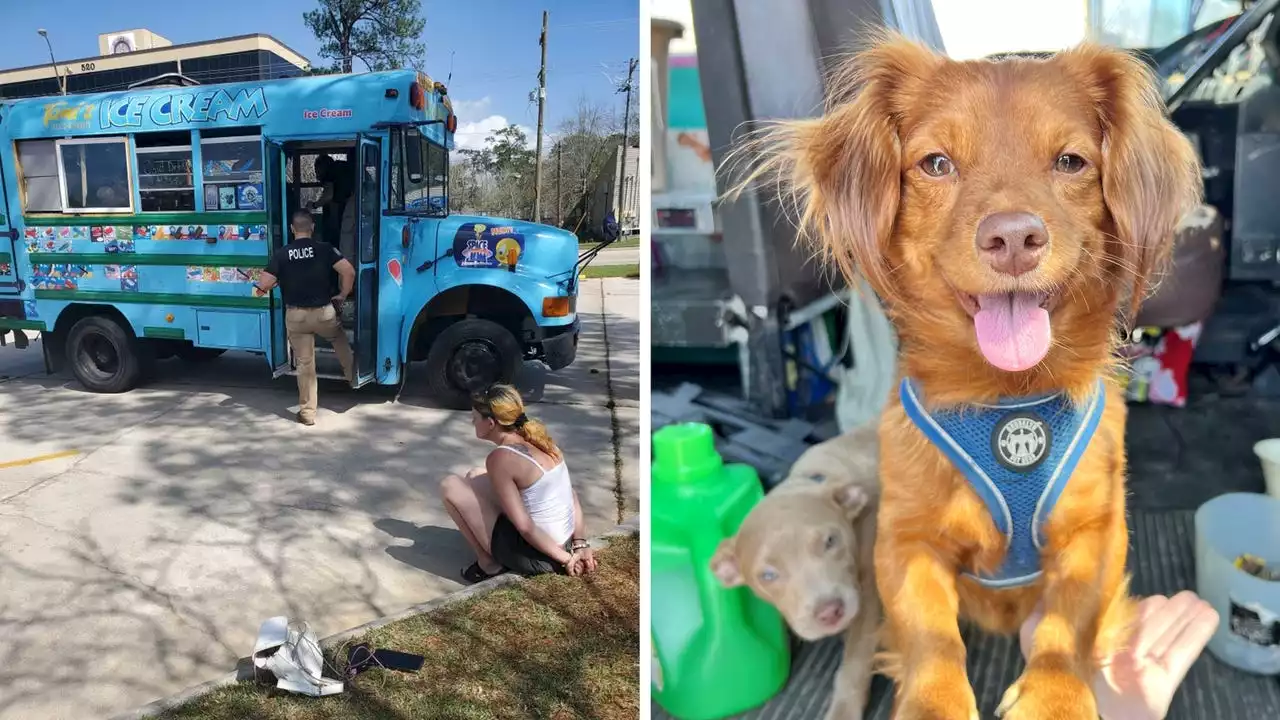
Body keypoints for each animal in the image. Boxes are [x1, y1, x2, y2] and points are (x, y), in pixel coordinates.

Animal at [711, 427, 880, 712]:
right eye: (768, 575)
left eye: (831, 540)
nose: (829, 612)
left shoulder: (869, 594)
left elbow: (854, 664)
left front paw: (843, 709)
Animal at [737, 36, 1203, 717]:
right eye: (936, 164)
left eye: (1070, 161)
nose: (1013, 238)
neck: (1010, 396)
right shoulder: (904, 544)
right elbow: (932, 639)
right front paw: (935, 702)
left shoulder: (1097, 534)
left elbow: (1066, 625)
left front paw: (1055, 697)